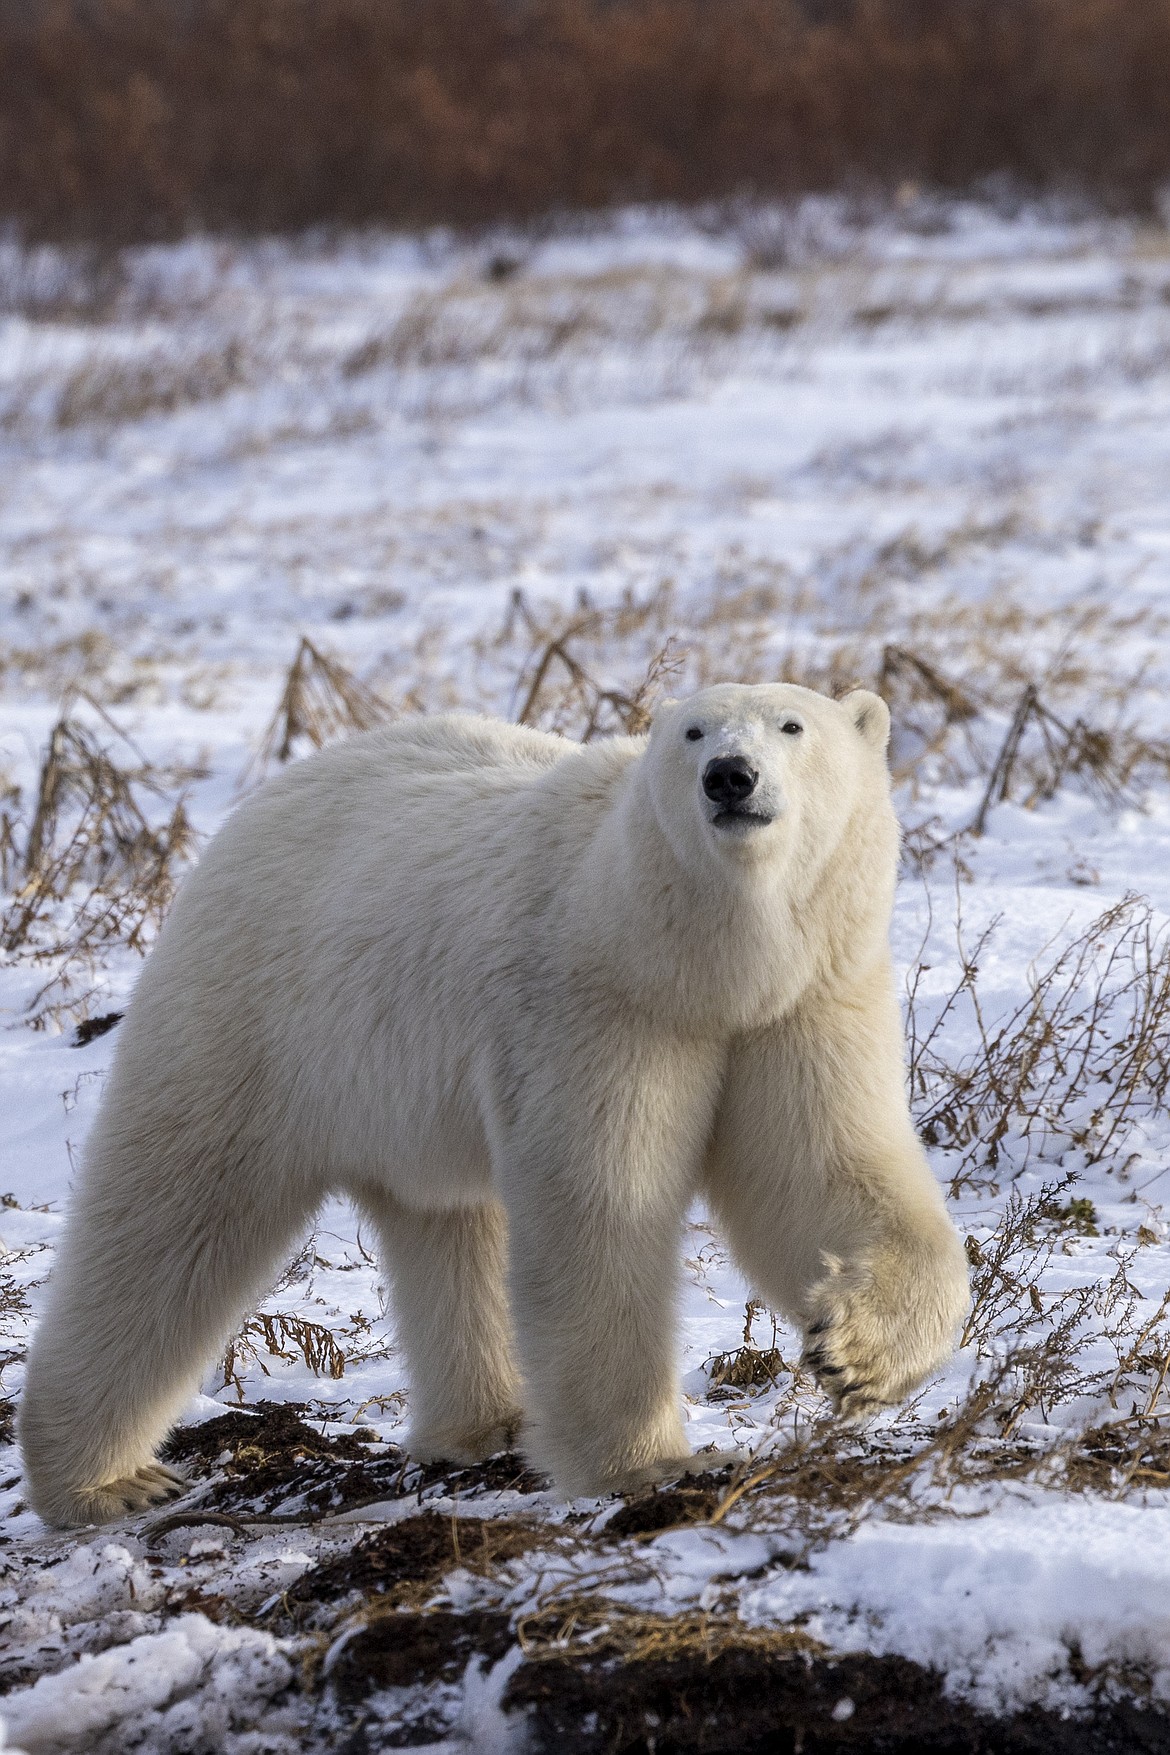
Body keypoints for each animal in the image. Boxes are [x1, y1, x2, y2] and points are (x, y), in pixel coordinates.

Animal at [18, 684, 968, 1523]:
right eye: (692, 732)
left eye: (791, 724)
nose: (730, 776)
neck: (696, 960)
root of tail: (258, 804)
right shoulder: (594, 1004)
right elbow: (600, 1210)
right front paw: (647, 1462)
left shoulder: (799, 1002)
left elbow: (821, 1172)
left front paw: (854, 1354)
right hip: (254, 1016)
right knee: (171, 1214)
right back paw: (106, 1480)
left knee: (446, 1222)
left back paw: (483, 1421)